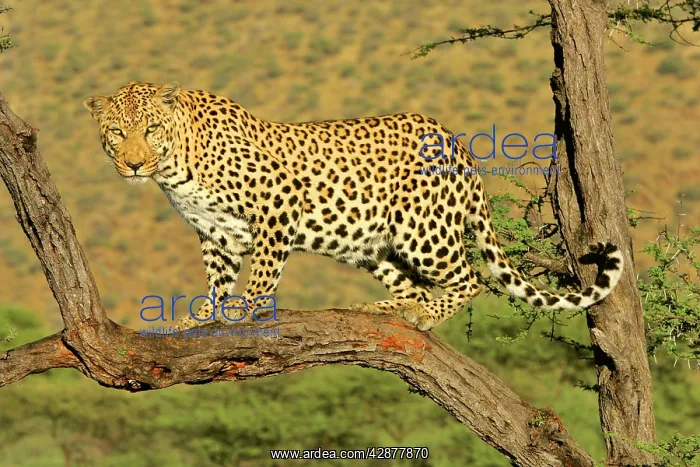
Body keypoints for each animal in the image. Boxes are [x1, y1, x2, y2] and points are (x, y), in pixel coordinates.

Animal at [83, 81, 624, 332]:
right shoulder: (215, 231)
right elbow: (217, 277)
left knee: (466, 279)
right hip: (367, 241)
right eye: (117, 133)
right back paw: (378, 306)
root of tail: (459, 145)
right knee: (413, 288)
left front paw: (245, 308)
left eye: (151, 129)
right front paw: (202, 315)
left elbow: (262, 272)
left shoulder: (278, 204)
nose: (133, 164)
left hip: (421, 228)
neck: (175, 166)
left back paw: (425, 315)